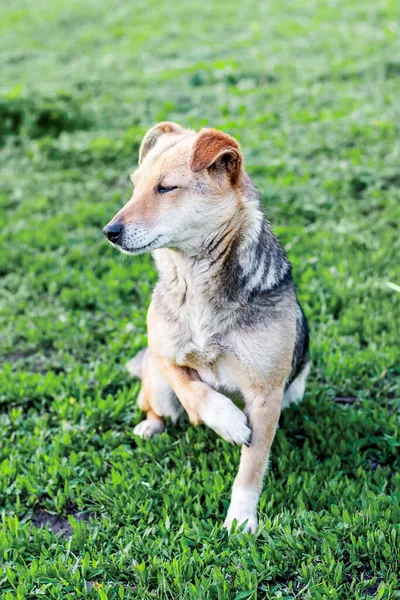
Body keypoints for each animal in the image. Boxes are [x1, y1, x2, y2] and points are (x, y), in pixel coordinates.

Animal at [103, 120, 310, 528]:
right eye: (135, 186)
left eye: (166, 188)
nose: (109, 231)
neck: (194, 280)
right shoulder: (164, 354)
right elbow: (195, 390)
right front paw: (225, 420)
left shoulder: (266, 394)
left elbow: (251, 467)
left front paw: (241, 520)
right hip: (156, 385)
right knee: (159, 406)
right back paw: (151, 426)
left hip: (294, 391)